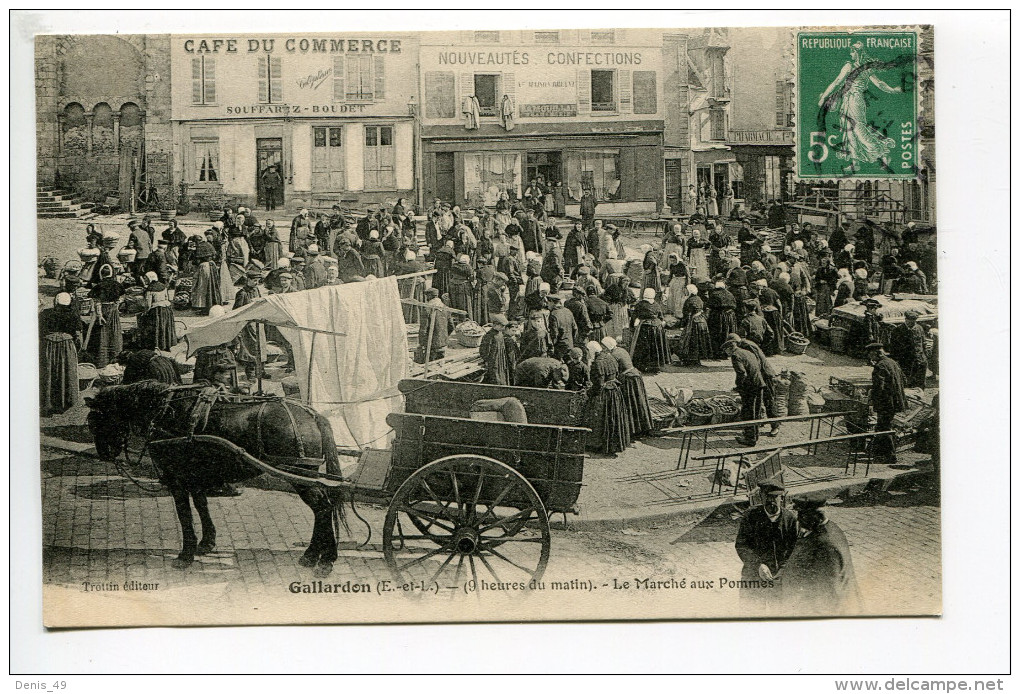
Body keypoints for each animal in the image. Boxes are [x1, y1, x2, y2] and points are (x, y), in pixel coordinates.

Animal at [84, 379, 346, 575]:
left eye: (96, 421)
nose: (104, 453)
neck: (165, 412)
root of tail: (311, 414)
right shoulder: (196, 475)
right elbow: (202, 506)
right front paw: (206, 542)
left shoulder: (177, 478)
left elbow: (185, 515)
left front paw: (185, 554)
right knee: (323, 508)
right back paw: (317, 554)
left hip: (298, 473)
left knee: (323, 508)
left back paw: (323, 558)